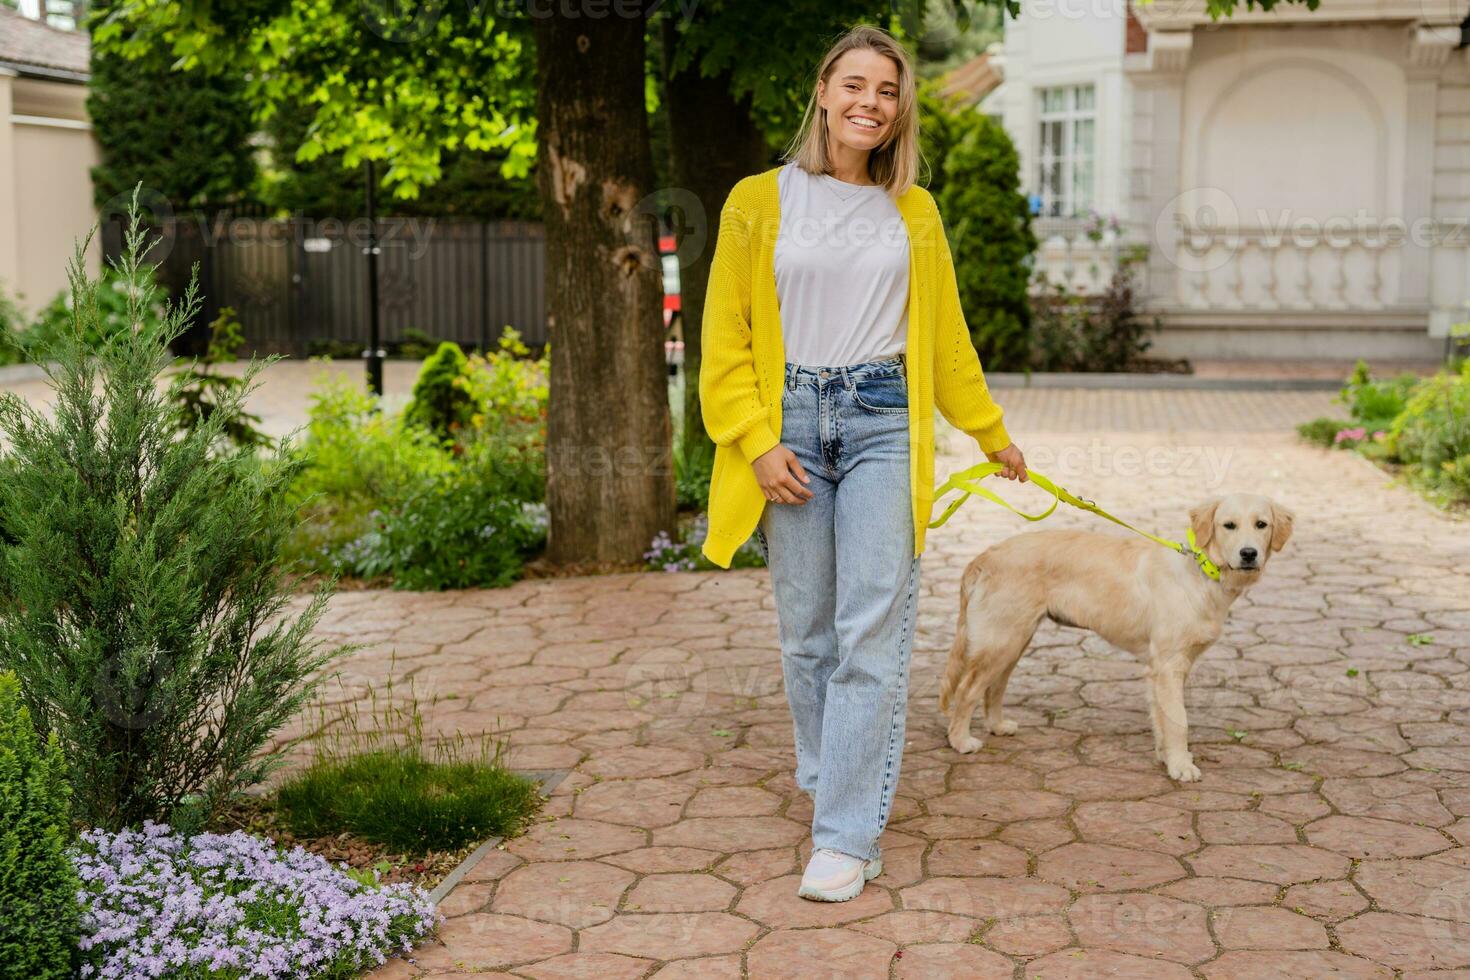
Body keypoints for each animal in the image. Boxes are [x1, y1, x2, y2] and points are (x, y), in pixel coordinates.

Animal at [934, 493, 1293, 787]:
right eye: (1228, 525)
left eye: (1261, 524)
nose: (1249, 554)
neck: (1202, 571)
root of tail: (984, 556)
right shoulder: (1168, 665)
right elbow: (1179, 721)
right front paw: (1181, 765)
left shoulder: (1161, 669)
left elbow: (1162, 718)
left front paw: (1166, 756)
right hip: (1002, 640)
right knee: (967, 691)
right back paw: (961, 741)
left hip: (1014, 640)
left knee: (993, 687)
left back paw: (997, 725)